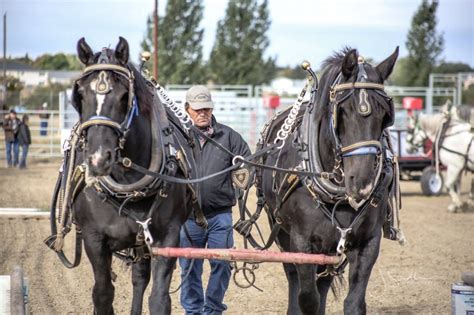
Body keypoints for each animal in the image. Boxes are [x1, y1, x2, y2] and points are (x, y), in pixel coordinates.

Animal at [67, 38, 193, 314]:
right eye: (80, 94)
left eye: (125, 95)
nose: (98, 159)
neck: (129, 187)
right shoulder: (94, 238)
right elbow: (103, 294)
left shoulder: (167, 236)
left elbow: (159, 299)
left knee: (140, 277)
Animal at [258, 47, 398, 315]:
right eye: (342, 111)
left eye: (385, 115)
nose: (362, 182)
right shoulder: (301, 242)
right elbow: (308, 299)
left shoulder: (368, 242)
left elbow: (354, 303)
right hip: (281, 231)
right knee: (294, 279)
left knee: (323, 282)